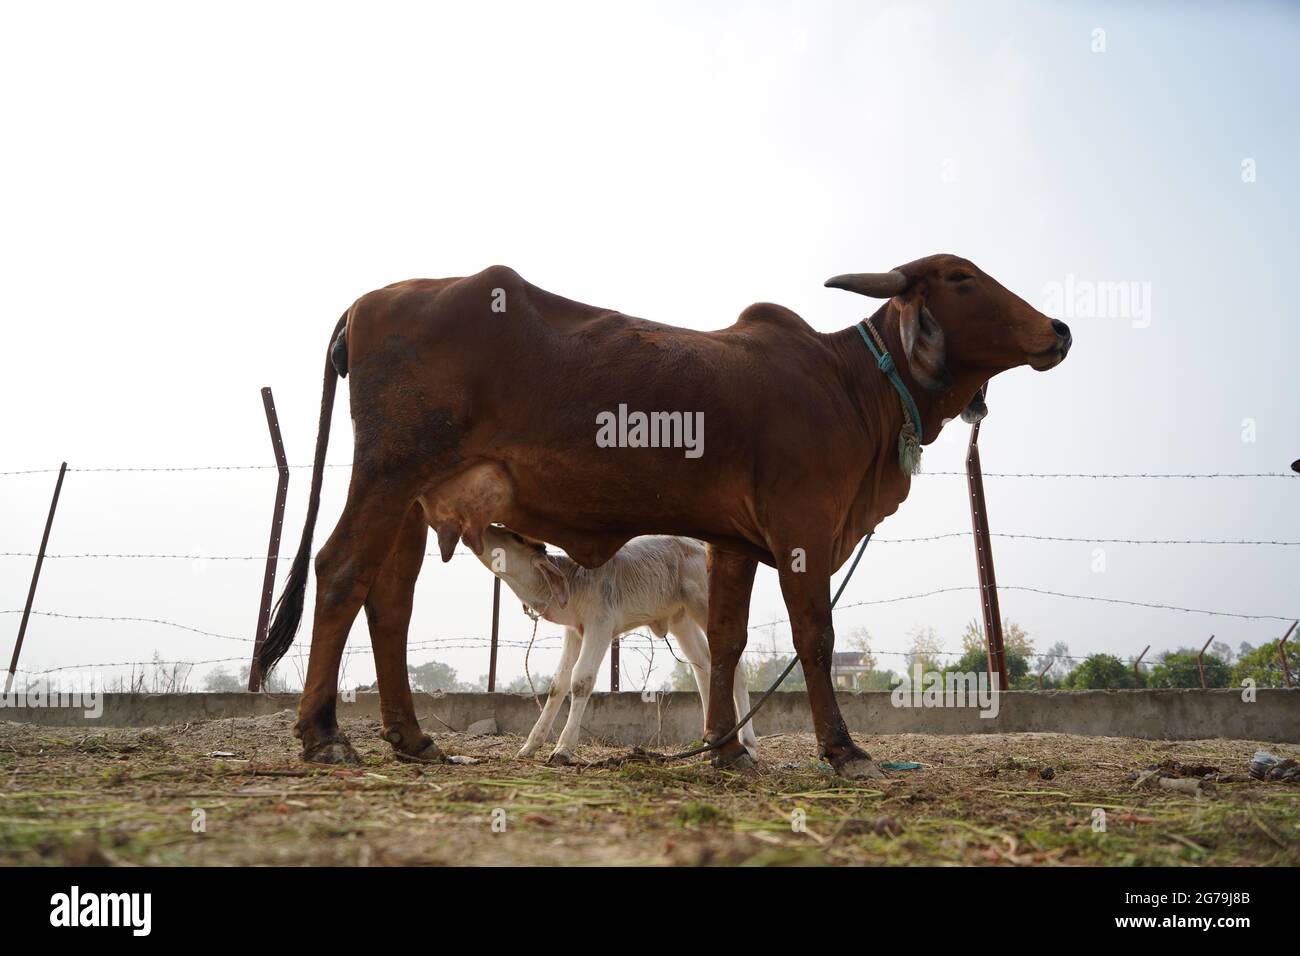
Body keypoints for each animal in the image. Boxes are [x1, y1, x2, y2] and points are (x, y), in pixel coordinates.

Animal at [473, 528, 759, 764]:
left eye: (516, 537)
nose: (482, 530)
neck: (575, 580)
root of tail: (699, 546)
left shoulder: (600, 624)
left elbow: (581, 680)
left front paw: (563, 749)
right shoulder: (574, 632)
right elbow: (558, 684)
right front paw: (530, 746)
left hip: (703, 605)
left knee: (735, 667)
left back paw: (748, 744)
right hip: (682, 620)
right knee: (703, 666)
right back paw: (712, 742)